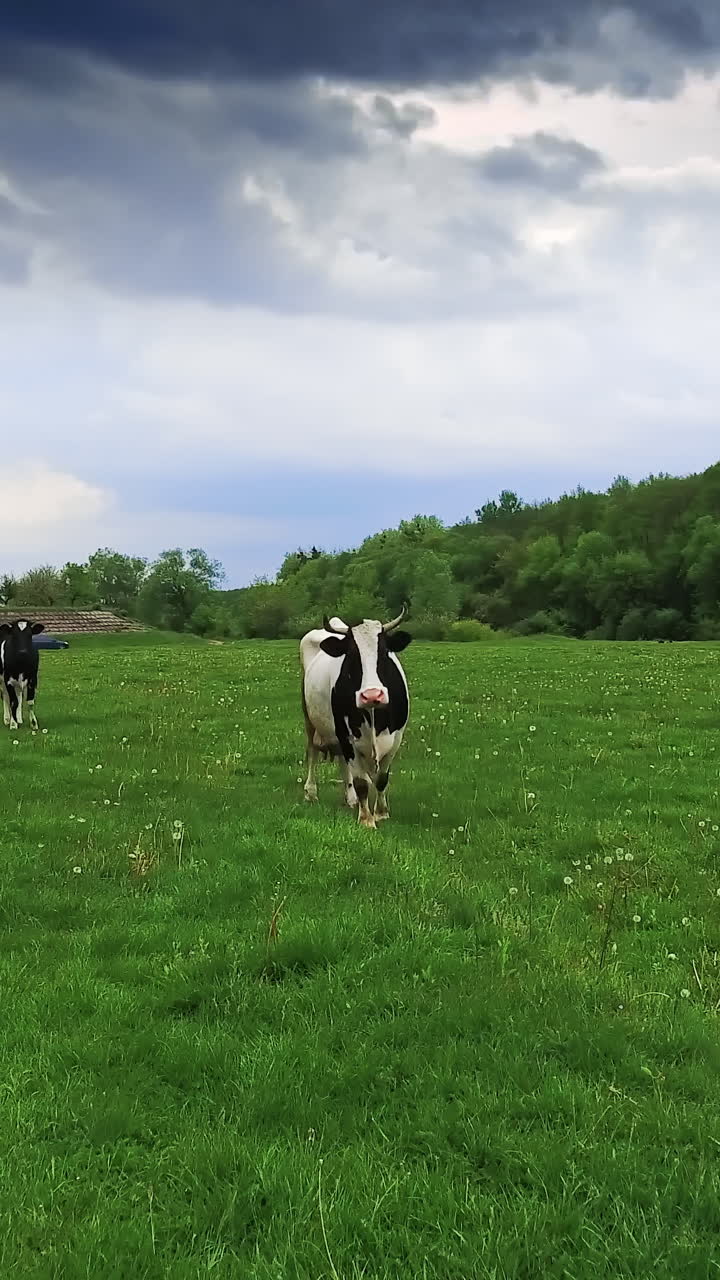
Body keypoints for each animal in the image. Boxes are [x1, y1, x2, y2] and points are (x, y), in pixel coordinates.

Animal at [300, 607, 412, 829]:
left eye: (384, 652)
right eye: (351, 655)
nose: (372, 694)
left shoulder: (396, 738)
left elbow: (382, 779)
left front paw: (381, 813)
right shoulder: (347, 737)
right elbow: (362, 782)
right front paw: (366, 819)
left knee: (343, 763)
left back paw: (350, 798)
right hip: (311, 720)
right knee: (312, 753)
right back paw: (311, 792)